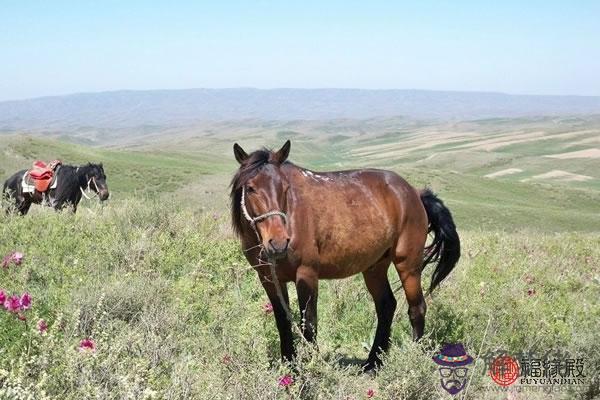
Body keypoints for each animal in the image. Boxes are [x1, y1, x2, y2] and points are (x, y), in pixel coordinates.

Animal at [230, 141, 460, 372]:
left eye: (285, 187)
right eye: (250, 188)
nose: (278, 242)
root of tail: (414, 192)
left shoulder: (306, 275)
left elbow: (309, 323)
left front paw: (311, 368)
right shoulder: (269, 279)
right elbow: (283, 322)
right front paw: (290, 366)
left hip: (408, 265)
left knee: (417, 308)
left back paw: (412, 360)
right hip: (375, 267)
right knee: (386, 305)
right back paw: (373, 363)